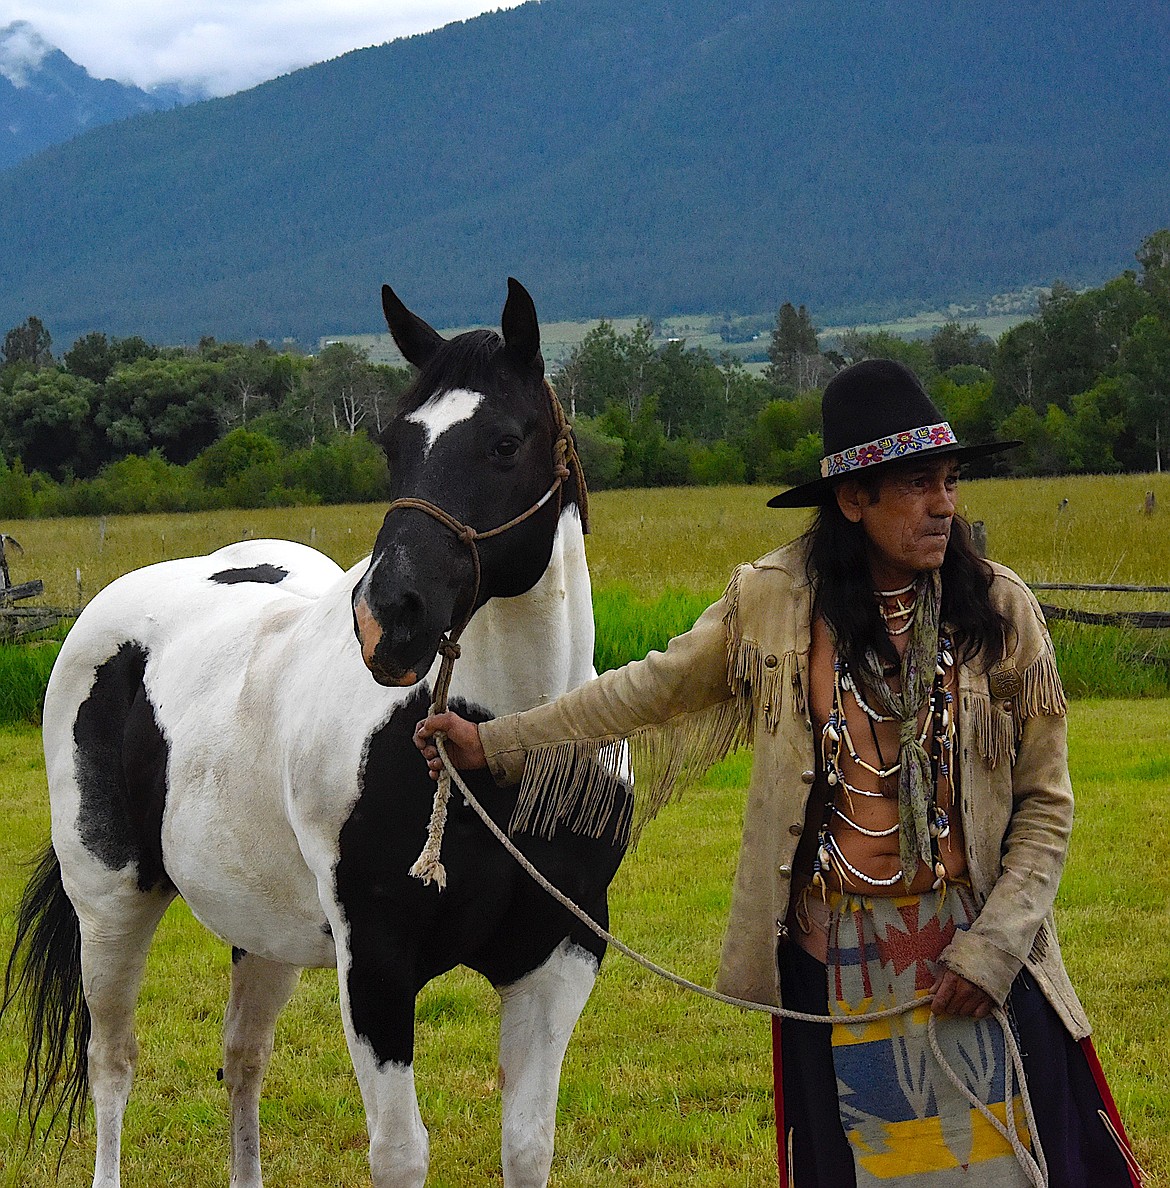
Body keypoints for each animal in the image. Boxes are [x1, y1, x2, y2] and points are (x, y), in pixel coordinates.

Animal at [2, 280, 631, 1188]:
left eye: (506, 442)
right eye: (393, 444)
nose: (388, 620)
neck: (500, 744)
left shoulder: (558, 958)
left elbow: (527, 1146)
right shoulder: (376, 966)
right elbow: (401, 1155)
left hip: (259, 926)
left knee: (242, 1059)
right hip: (112, 903)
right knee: (112, 1064)